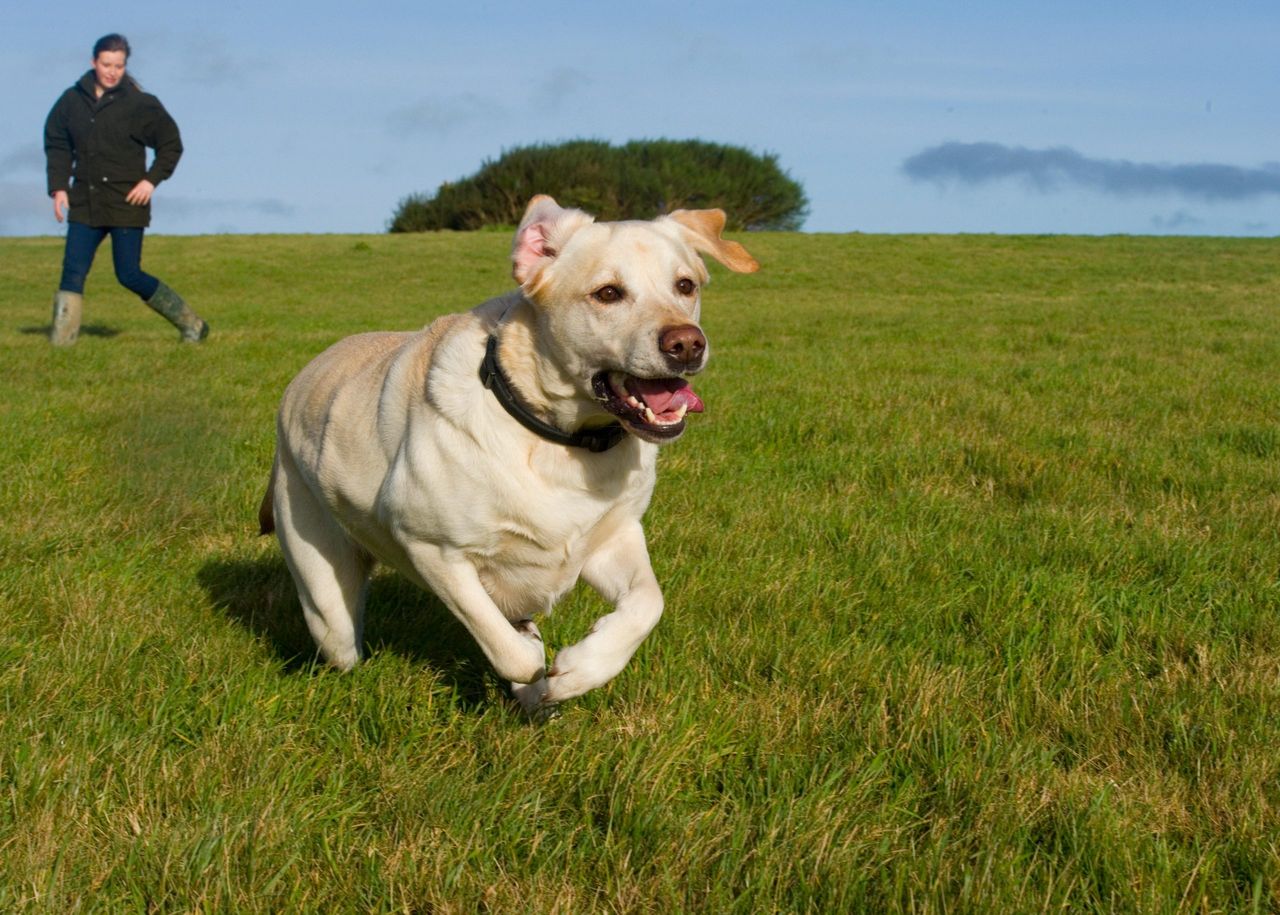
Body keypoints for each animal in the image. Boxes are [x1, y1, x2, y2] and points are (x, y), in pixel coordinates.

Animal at [263, 194, 752, 716]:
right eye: (607, 293)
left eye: (685, 286)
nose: (687, 343)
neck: (560, 440)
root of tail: (302, 378)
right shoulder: (432, 550)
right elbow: (508, 649)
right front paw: (537, 666)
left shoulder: (614, 537)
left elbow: (647, 604)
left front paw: (579, 670)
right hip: (325, 598)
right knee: (341, 641)